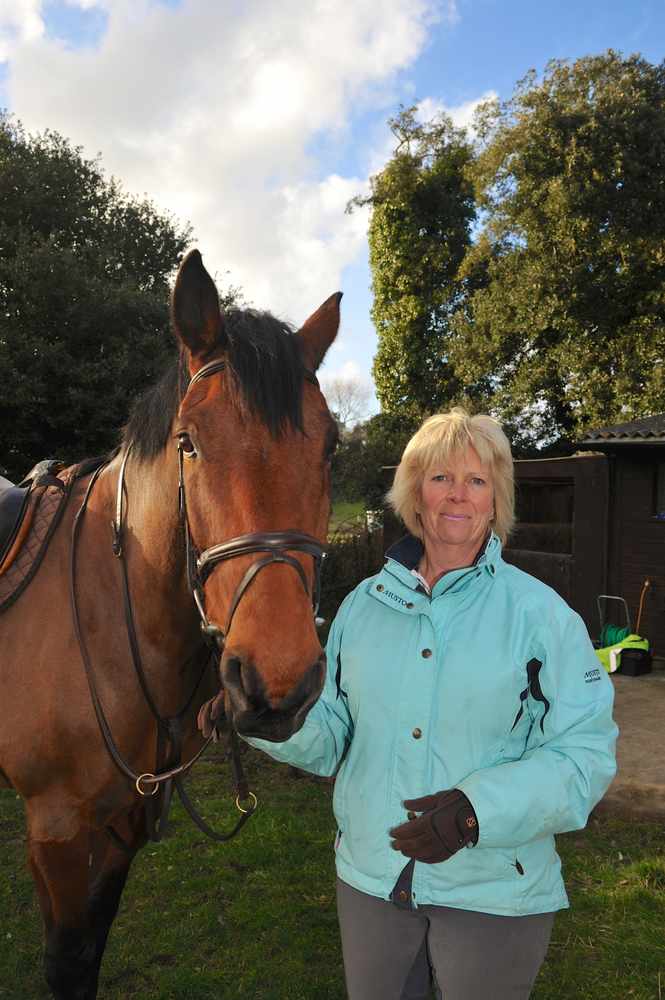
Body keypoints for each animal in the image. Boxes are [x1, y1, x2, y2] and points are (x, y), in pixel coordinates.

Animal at [0, 246, 340, 996]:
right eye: (189, 443)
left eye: (330, 447)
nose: (277, 683)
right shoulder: (57, 833)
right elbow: (66, 964)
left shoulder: (121, 823)